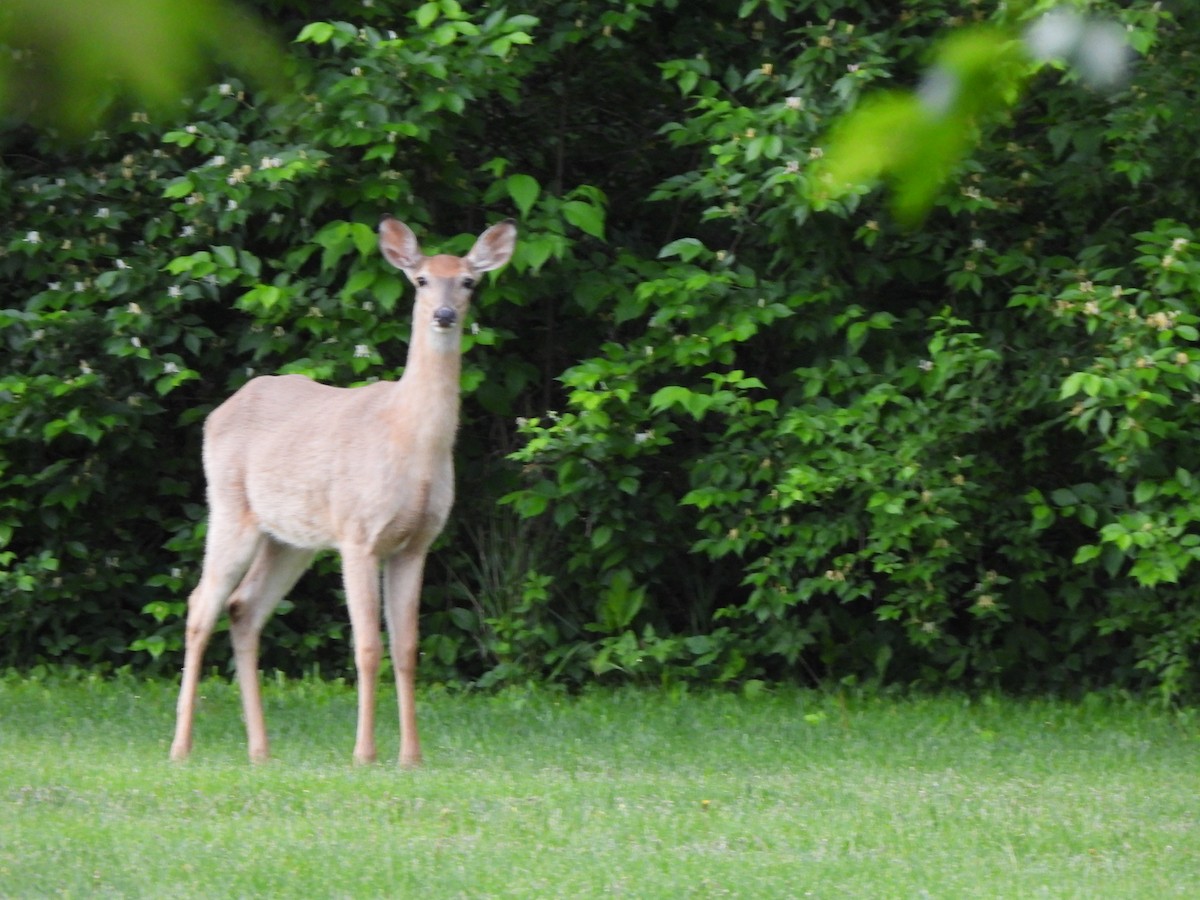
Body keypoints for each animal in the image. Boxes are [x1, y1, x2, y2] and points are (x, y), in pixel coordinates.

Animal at [169, 215, 517, 766]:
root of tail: (218, 412)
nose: (443, 314)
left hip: (289, 539)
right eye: (421, 280)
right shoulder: (358, 534)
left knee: (244, 608)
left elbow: (407, 648)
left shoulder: (416, 543)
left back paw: (260, 750)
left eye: (468, 281)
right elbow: (368, 647)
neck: (411, 441)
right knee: (201, 605)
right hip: (229, 507)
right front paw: (365, 754)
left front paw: (411, 757)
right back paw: (181, 747)